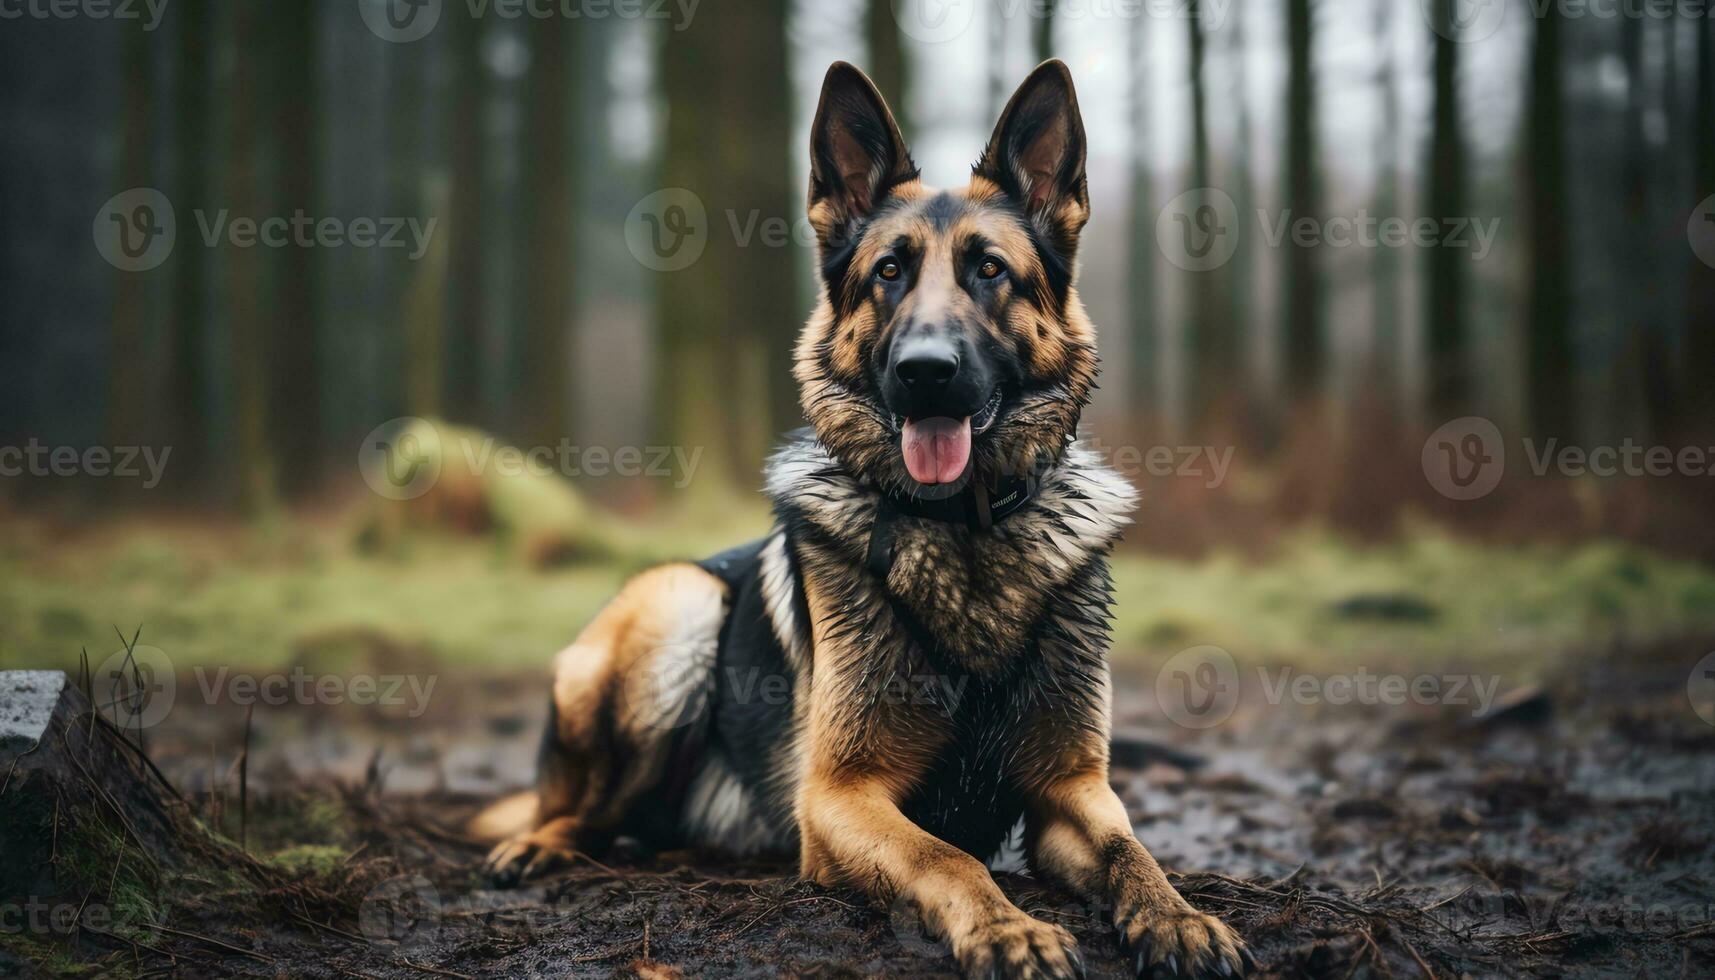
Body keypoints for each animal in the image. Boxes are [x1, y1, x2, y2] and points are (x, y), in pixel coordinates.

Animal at [480, 63, 1248, 980]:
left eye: (990, 270)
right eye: (887, 272)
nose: (925, 372)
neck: (964, 530)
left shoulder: (1071, 791)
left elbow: (1133, 850)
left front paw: (1178, 917)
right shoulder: (841, 797)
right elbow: (943, 856)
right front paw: (1009, 927)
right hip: (678, 602)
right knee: (589, 808)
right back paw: (543, 843)